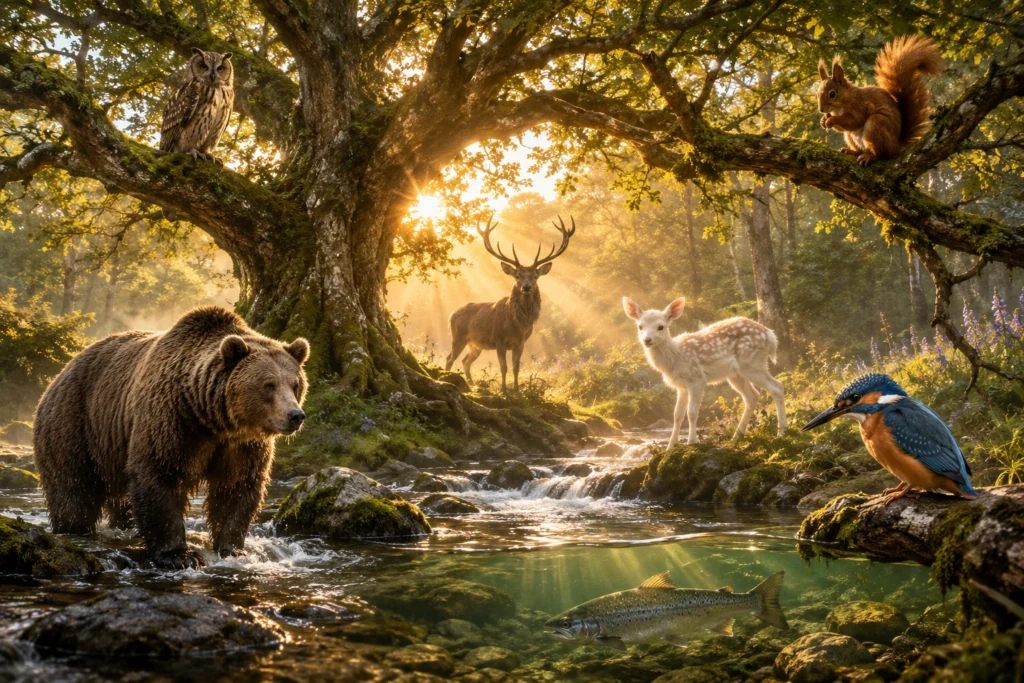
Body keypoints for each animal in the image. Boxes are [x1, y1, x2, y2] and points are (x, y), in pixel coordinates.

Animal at [33, 306, 309, 569]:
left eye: (295, 384)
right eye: (269, 385)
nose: (295, 415)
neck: (212, 418)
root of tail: (60, 373)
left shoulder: (241, 444)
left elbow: (237, 486)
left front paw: (233, 549)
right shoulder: (173, 420)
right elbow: (159, 475)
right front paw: (179, 555)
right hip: (76, 423)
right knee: (73, 490)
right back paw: (74, 529)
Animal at [446, 215, 576, 393]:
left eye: (535, 276)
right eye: (517, 275)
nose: (526, 287)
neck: (518, 326)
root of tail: (452, 314)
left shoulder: (520, 343)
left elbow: (516, 368)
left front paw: (516, 390)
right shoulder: (499, 340)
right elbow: (504, 367)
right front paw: (504, 390)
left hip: (475, 345)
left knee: (465, 361)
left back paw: (472, 386)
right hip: (458, 335)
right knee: (449, 358)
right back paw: (446, 378)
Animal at [622, 297, 787, 448]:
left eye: (661, 327)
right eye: (640, 326)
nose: (647, 340)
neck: (675, 357)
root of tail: (771, 335)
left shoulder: (696, 379)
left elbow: (692, 412)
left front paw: (692, 442)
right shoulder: (681, 386)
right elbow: (677, 415)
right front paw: (670, 447)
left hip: (752, 363)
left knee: (777, 386)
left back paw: (782, 432)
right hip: (736, 374)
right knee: (753, 396)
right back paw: (736, 436)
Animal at [818, 35, 944, 166]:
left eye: (832, 94)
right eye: (817, 93)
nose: (821, 110)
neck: (839, 106)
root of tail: (896, 146)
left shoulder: (858, 105)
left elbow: (855, 121)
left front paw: (831, 120)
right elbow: (843, 128)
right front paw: (823, 120)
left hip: (876, 125)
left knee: (883, 155)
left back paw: (870, 157)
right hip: (850, 136)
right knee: (857, 146)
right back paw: (852, 151)